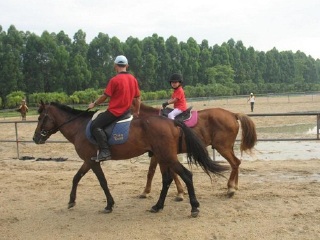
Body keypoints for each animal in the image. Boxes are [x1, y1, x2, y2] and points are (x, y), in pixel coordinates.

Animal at [31, 101, 228, 218]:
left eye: (41, 118)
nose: (35, 138)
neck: (80, 127)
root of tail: (172, 121)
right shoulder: (89, 161)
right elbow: (76, 178)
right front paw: (71, 201)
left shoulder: (92, 161)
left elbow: (102, 182)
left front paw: (109, 205)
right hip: (163, 156)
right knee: (167, 179)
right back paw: (158, 206)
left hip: (168, 157)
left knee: (186, 175)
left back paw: (194, 207)